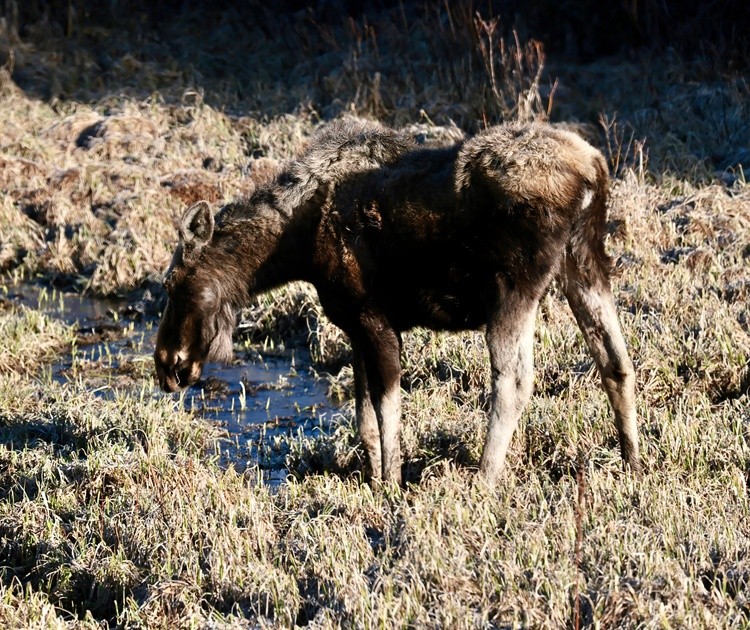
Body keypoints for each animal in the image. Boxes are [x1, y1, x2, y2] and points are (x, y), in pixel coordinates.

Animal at [153, 116, 639, 487]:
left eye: (172, 282)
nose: (166, 364)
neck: (296, 247)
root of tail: (593, 168)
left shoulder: (376, 320)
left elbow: (389, 414)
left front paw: (390, 485)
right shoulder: (355, 327)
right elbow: (364, 419)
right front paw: (372, 479)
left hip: (513, 289)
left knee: (514, 382)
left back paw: (484, 479)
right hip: (584, 261)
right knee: (615, 359)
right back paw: (632, 460)